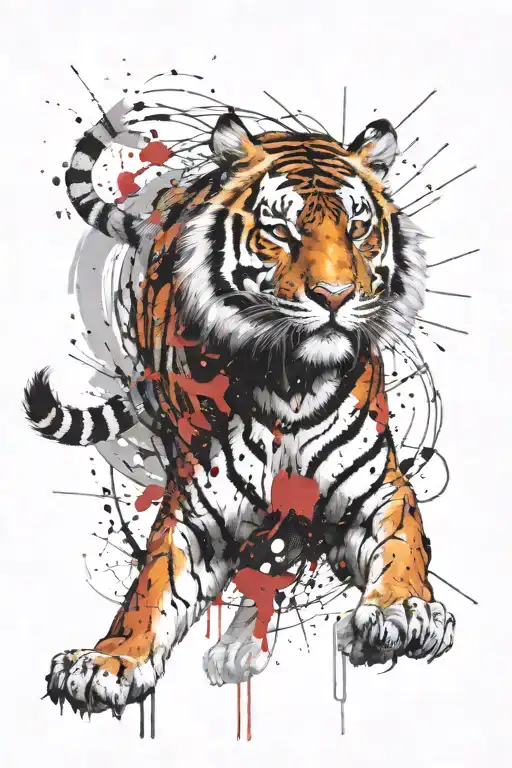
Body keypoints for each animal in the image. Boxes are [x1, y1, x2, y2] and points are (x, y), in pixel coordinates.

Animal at [24, 95, 455, 719]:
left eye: (357, 229)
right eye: (280, 231)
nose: (335, 297)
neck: (295, 382)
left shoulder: (378, 489)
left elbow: (402, 550)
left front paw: (401, 612)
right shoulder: (198, 505)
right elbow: (153, 586)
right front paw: (107, 661)